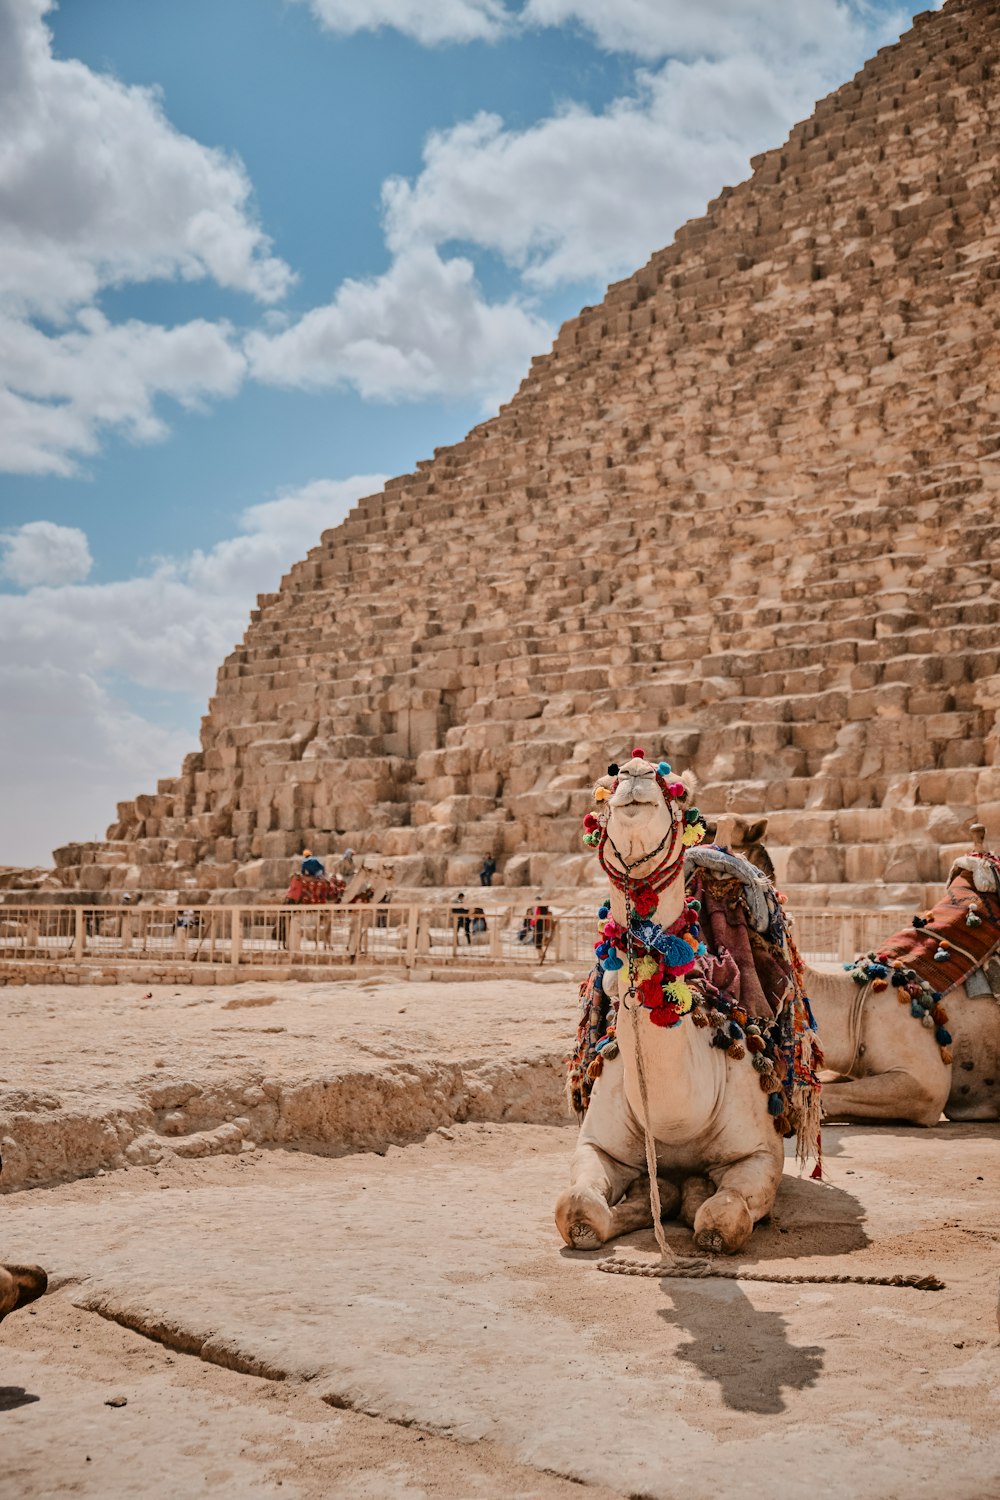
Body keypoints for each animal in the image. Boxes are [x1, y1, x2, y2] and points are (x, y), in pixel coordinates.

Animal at [554, 750, 821, 1254]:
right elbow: (577, 1209)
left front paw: (693, 1196)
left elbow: (720, 1219)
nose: (634, 772)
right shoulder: (595, 1145)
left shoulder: (760, 1155)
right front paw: (649, 1197)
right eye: (604, 785)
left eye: (679, 788)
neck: (677, 1118)